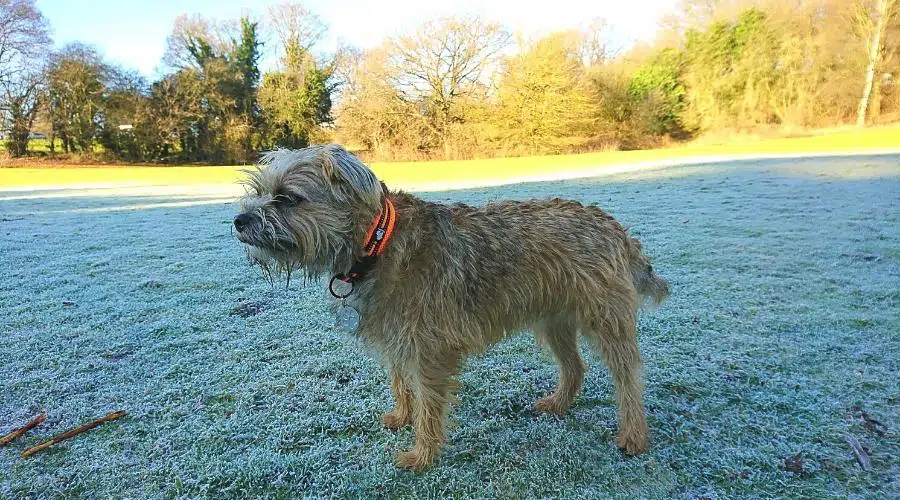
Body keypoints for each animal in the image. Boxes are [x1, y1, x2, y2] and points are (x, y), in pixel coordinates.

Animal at [232, 144, 668, 468]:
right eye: (259, 191)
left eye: (287, 198)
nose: (239, 220)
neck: (377, 244)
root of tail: (613, 226)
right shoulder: (397, 337)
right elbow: (401, 382)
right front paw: (402, 417)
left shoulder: (429, 348)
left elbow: (428, 399)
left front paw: (422, 453)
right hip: (552, 319)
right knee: (575, 367)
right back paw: (559, 404)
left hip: (604, 319)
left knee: (629, 376)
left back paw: (634, 434)